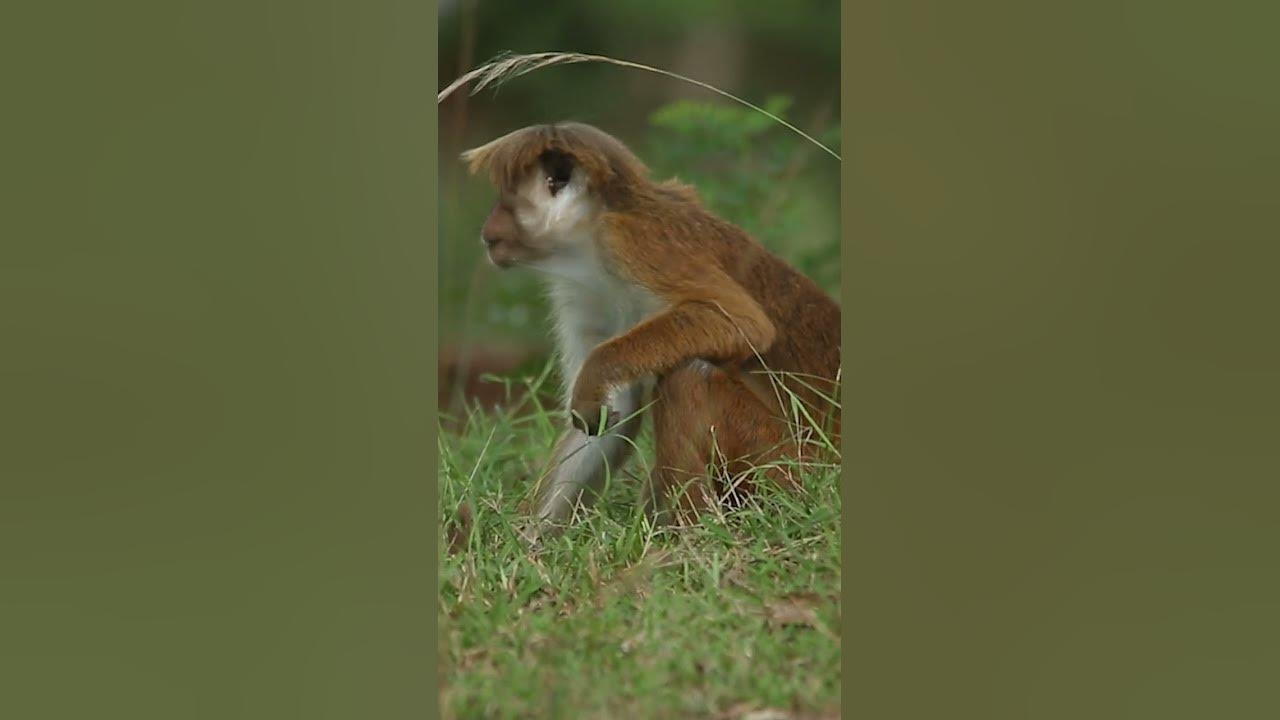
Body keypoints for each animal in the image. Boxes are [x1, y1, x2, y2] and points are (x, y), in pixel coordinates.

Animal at [461, 122, 840, 534]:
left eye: (507, 200)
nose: (487, 227)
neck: (591, 237)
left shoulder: (633, 243)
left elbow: (741, 321)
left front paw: (598, 372)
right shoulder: (581, 291)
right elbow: (611, 420)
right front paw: (528, 540)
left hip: (786, 469)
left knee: (689, 376)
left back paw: (693, 531)